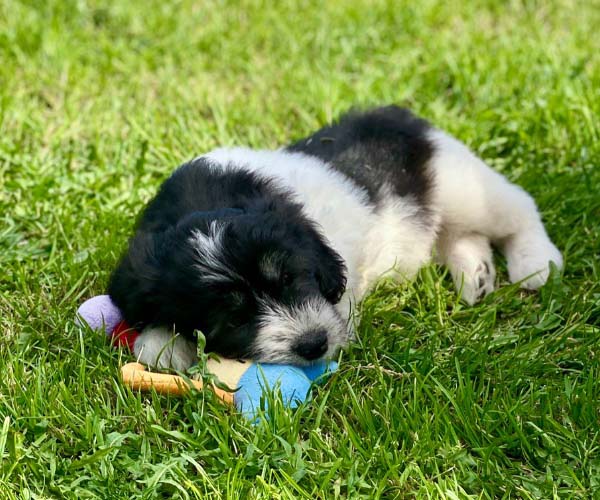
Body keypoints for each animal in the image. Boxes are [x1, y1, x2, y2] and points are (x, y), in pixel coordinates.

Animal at [108, 106, 562, 370]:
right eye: (233, 318)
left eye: (291, 278)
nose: (314, 344)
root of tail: (397, 112)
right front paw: (163, 343)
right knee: (457, 236)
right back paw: (476, 274)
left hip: (461, 184)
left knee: (518, 207)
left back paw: (536, 262)